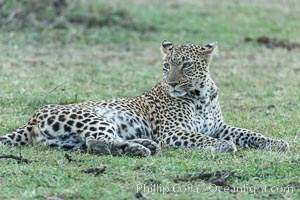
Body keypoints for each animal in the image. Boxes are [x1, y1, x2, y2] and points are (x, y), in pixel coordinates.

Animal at [0, 40, 290, 156]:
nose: (172, 83)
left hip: (67, 141)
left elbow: (247, 132)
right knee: (97, 142)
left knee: (92, 144)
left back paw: (142, 145)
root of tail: (31, 118)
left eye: (186, 65)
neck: (201, 96)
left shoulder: (219, 126)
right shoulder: (174, 132)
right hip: (94, 118)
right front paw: (224, 146)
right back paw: (141, 148)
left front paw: (277, 143)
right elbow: (204, 139)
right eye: (166, 66)